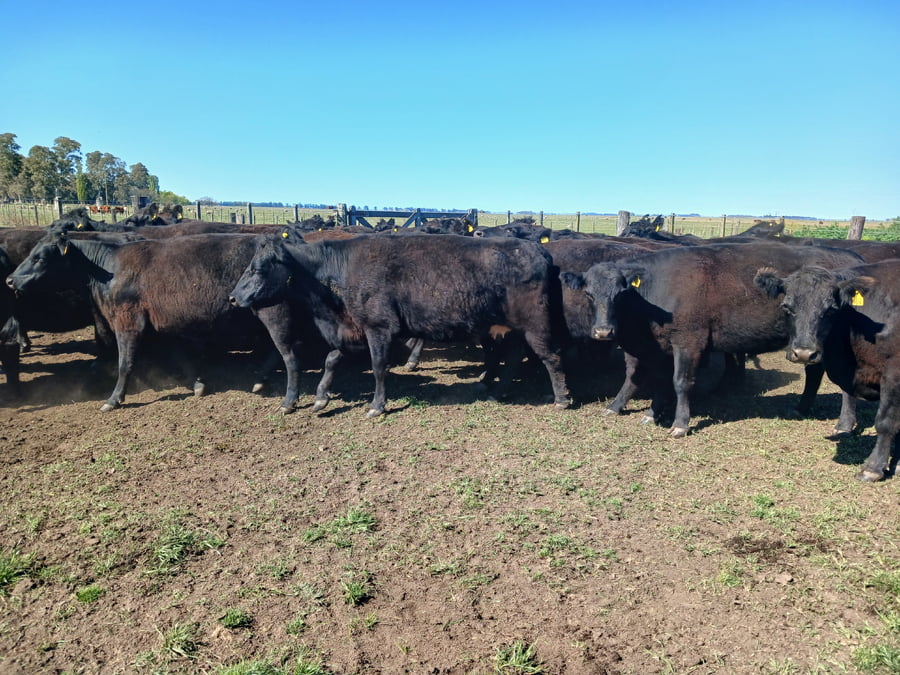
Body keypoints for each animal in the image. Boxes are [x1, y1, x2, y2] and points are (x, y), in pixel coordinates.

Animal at [6, 233, 282, 411]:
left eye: (40, 258)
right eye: (31, 253)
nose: (10, 280)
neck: (106, 271)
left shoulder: (128, 323)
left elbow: (125, 363)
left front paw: (114, 399)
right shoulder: (160, 325)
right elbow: (178, 359)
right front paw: (197, 384)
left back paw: (261, 379)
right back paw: (260, 378)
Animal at [228, 234, 571, 417]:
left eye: (257, 269)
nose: (233, 297)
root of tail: (539, 249)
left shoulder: (378, 328)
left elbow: (378, 367)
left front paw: (377, 406)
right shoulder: (354, 330)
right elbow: (331, 359)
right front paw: (321, 398)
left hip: (535, 326)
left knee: (552, 356)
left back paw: (561, 399)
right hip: (508, 329)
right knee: (513, 358)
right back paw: (495, 391)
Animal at [564, 241, 865, 437]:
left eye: (620, 294)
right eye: (589, 294)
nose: (603, 331)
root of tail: (854, 258)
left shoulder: (689, 341)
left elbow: (680, 382)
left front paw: (680, 423)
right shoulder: (661, 346)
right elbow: (648, 378)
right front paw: (638, 410)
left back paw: (844, 424)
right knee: (813, 372)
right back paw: (801, 408)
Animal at [754, 261, 900, 481]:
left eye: (830, 310)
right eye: (787, 307)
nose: (804, 353)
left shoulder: (892, 374)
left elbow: (885, 421)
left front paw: (873, 467)